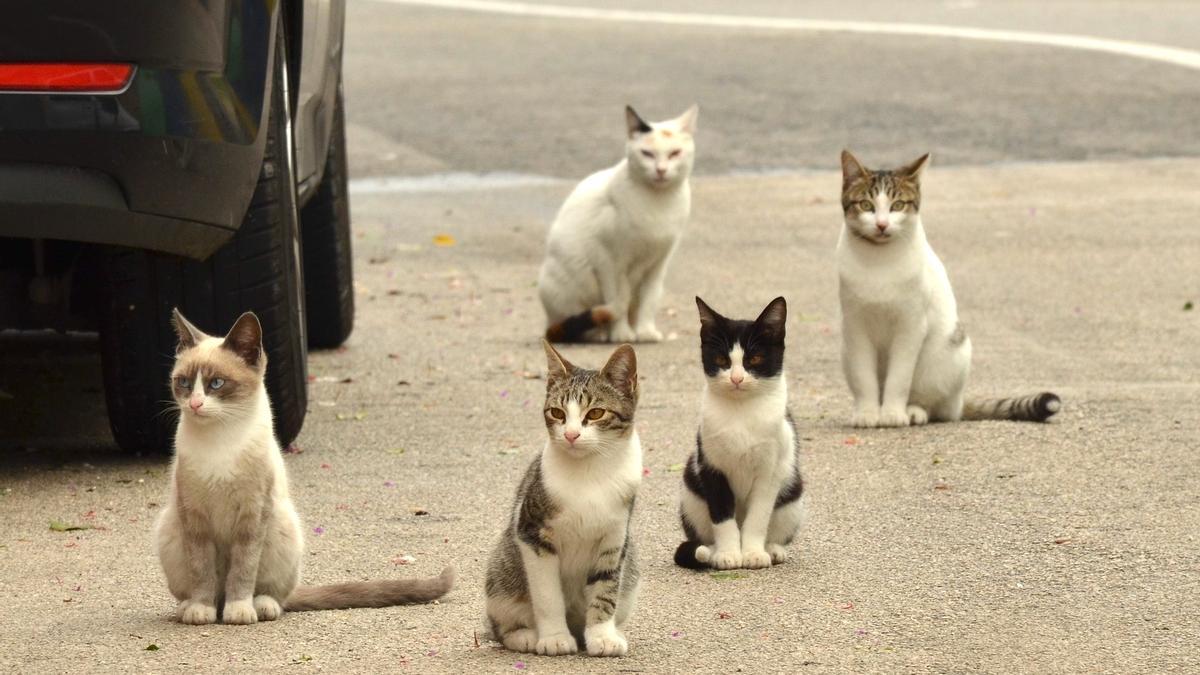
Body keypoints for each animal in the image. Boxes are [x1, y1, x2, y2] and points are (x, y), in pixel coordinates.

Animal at [150, 307, 451, 624]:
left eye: (216, 383)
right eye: (184, 382)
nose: (195, 404)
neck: (220, 441)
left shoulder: (252, 516)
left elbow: (243, 570)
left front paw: (239, 610)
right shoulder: (194, 518)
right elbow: (202, 571)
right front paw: (201, 609)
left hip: (282, 526)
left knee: (274, 595)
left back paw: (259, 606)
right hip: (170, 529)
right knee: (205, 589)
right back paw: (192, 607)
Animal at [484, 338, 643, 653]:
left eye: (595, 413)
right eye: (557, 413)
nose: (570, 435)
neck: (590, 472)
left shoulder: (615, 538)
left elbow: (606, 589)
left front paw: (602, 635)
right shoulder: (532, 534)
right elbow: (548, 595)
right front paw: (555, 638)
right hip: (501, 575)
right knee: (501, 625)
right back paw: (524, 635)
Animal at [540, 103, 700, 343]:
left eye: (674, 153)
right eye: (647, 153)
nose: (661, 170)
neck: (658, 203)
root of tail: (548, 323)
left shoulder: (659, 262)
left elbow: (649, 299)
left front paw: (645, 331)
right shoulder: (609, 261)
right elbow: (618, 300)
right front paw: (621, 333)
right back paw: (598, 333)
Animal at [676, 297, 806, 566]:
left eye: (754, 359)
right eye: (721, 361)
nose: (736, 379)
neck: (741, 412)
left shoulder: (770, 471)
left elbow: (758, 517)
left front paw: (753, 553)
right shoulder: (711, 466)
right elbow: (722, 516)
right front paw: (728, 553)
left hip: (793, 493)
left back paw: (772, 549)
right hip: (690, 491)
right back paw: (711, 551)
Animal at [835, 151, 1060, 425]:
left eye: (897, 205)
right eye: (866, 205)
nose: (881, 225)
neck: (879, 261)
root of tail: (960, 402)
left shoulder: (911, 324)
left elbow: (899, 378)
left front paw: (892, 413)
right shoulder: (855, 325)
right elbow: (863, 377)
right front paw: (868, 413)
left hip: (948, 355)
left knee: (938, 407)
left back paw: (914, 411)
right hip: (846, 351)